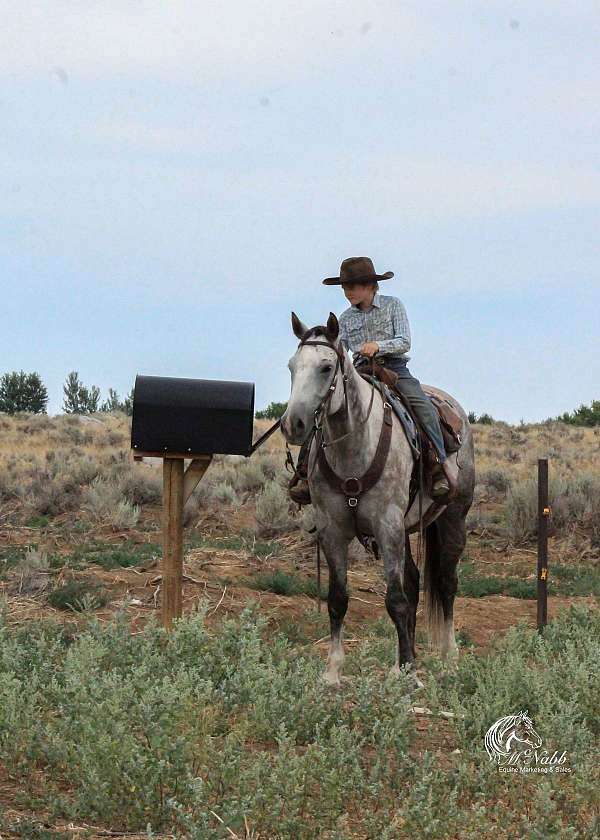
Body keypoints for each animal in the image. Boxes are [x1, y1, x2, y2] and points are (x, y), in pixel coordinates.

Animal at [280, 312, 474, 684]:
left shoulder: (387, 526)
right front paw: (333, 671)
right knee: (414, 580)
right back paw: (406, 661)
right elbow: (338, 598)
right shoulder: (333, 530)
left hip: (451, 519)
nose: (293, 424)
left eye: (326, 367)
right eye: (291, 366)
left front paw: (410, 677)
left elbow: (395, 599)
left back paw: (449, 658)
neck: (355, 448)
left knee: (446, 582)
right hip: (407, 529)